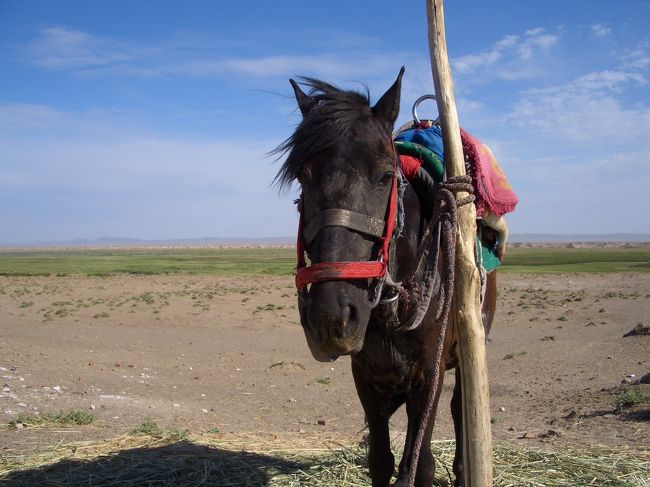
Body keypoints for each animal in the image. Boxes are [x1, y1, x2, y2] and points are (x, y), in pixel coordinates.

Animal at [274, 68, 496, 487]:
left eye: (385, 176)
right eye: (303, 176)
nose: (332, 317)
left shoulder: (428, 375)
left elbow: (418, 465)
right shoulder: (364, 374)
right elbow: (380, 459)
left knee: (461, 408)